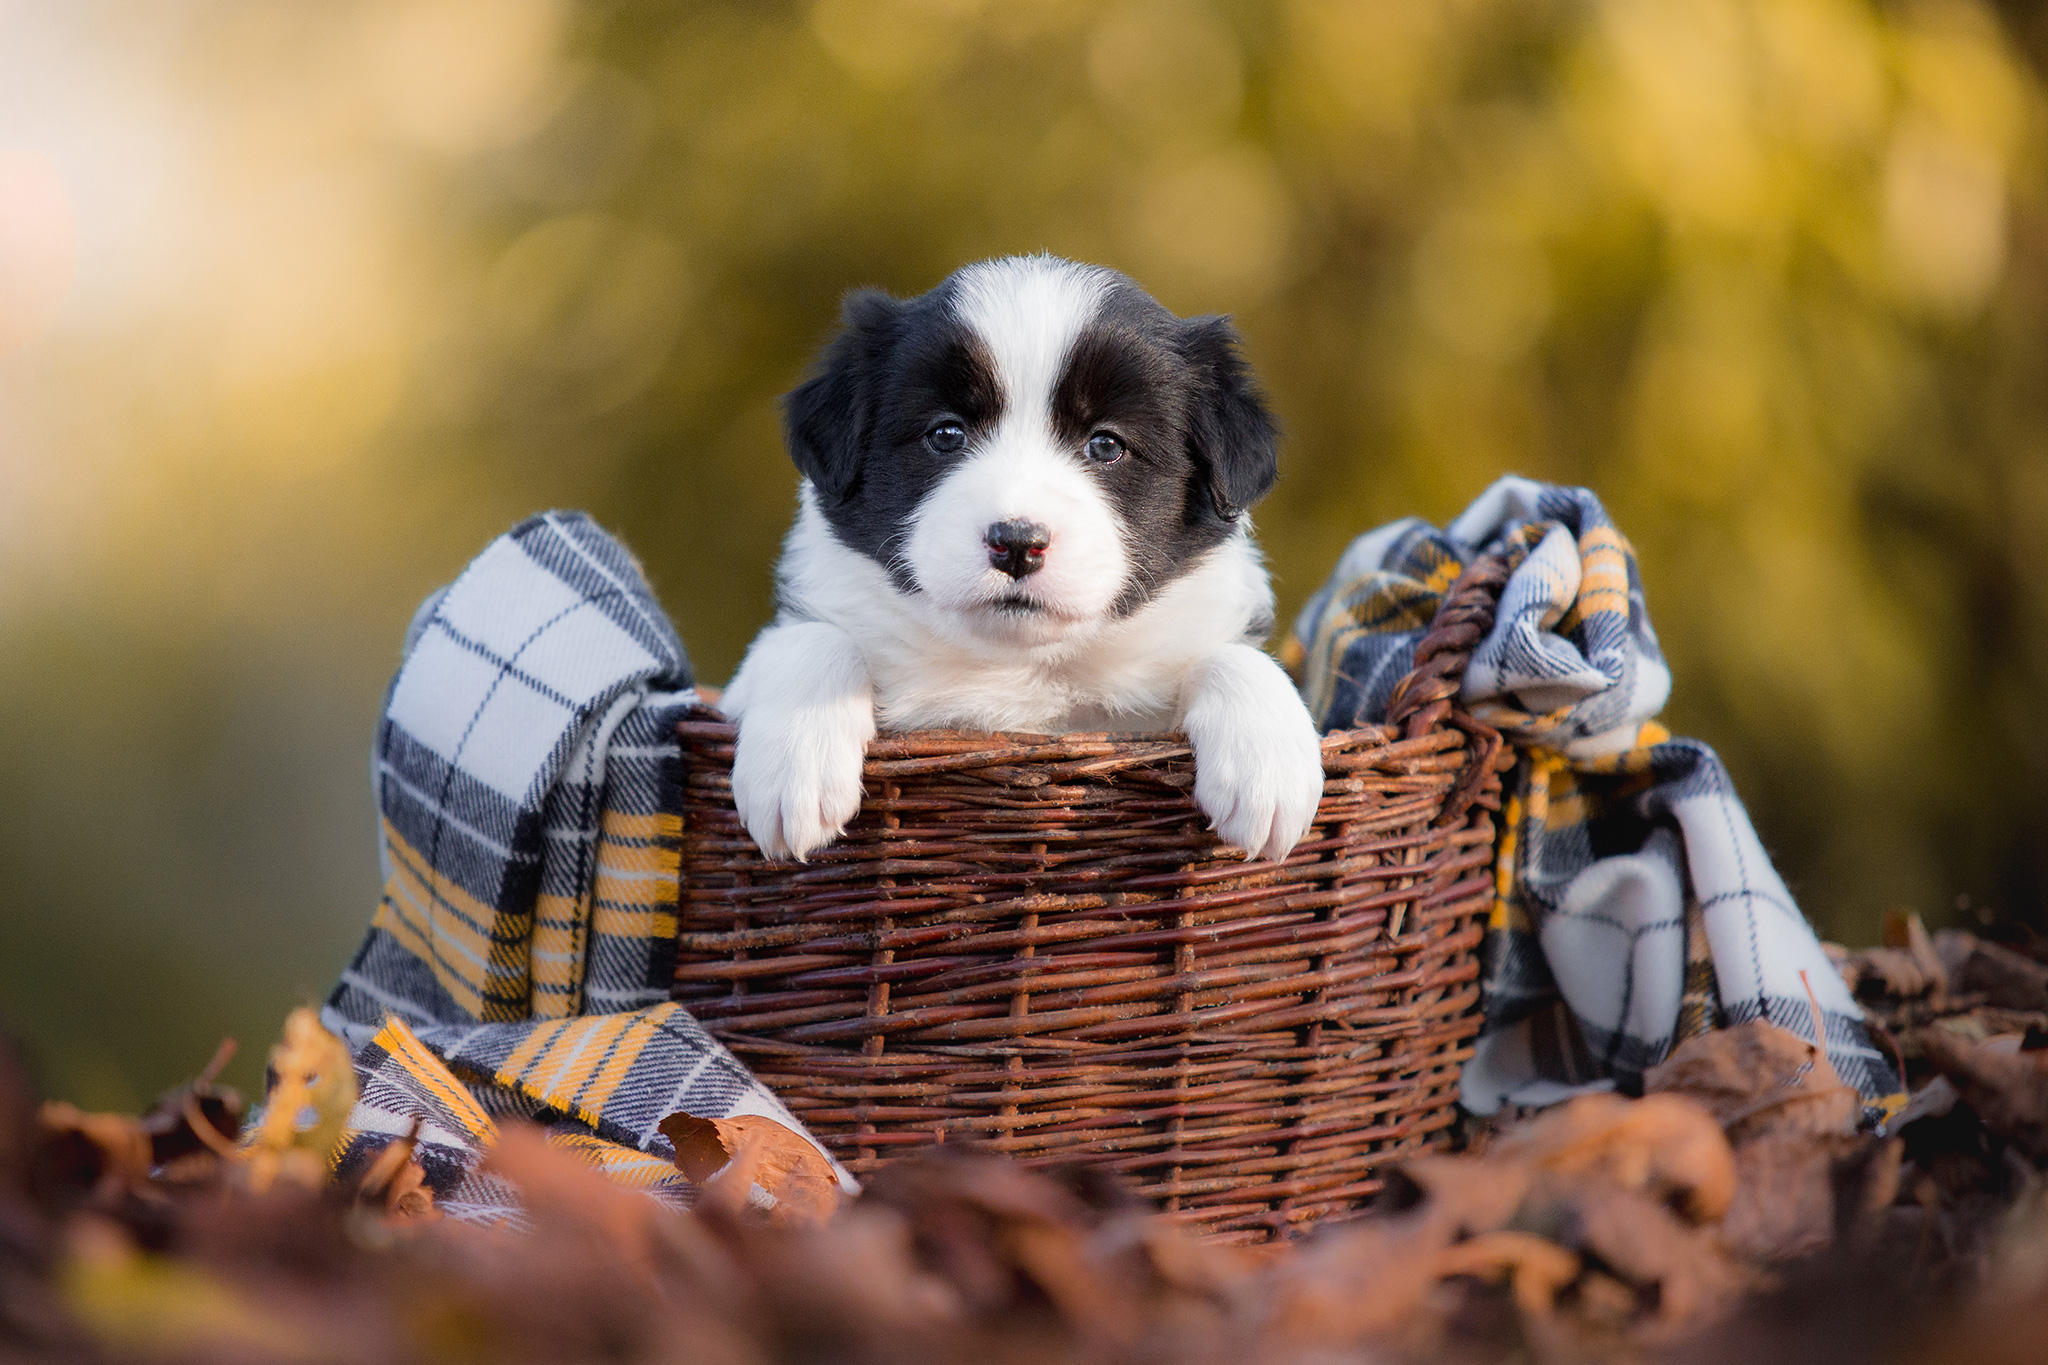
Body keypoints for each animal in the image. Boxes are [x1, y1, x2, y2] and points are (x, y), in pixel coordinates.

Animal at [724, 255, 1327, 863]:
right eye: (946, 433)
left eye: (1106, 445)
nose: (1016, 543)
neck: (1024, 669)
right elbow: (809, 640)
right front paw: (795, 770)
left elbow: (1234, 658)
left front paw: (1268, 772)